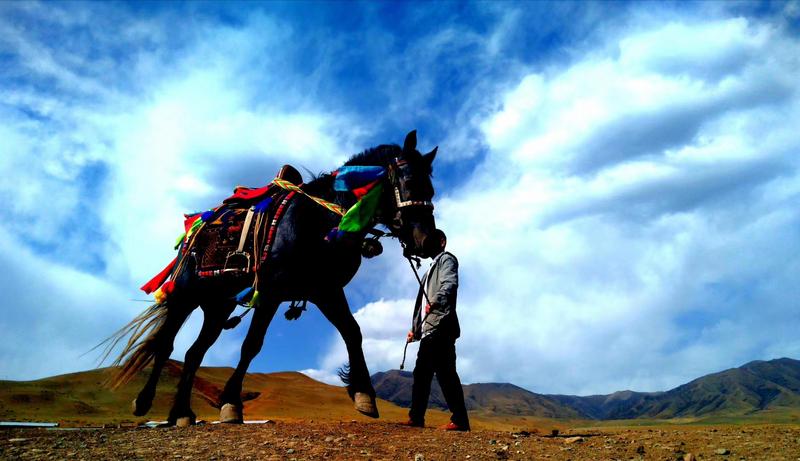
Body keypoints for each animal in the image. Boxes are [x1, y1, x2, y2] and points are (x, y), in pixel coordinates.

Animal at [104, 129, 438, 424]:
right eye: (409, 182)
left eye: (431, 189)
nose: (431, 241)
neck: (318, 222)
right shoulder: (271, 292)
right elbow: (252, 344)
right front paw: (230, 404)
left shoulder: (325, 291)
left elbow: (352, 332)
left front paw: (364, 395)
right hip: (186, 296)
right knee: (166, 346)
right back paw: (144, 402)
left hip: (218, 306)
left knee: (193, 353)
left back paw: (182, 413)